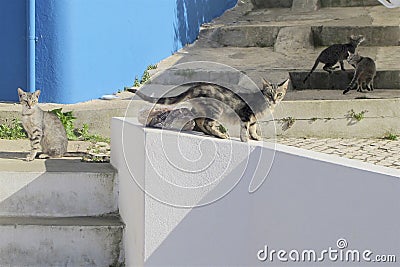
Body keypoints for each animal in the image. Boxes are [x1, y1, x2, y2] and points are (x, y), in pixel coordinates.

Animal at [134, 79, 288, 142]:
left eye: (279, 94)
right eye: (269, 94)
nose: (274, 100)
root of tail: (195, 87)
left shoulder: (253, 119)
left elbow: (253, 128)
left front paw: (255, 137)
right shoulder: (245, 114)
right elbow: (245, 129)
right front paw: (245, 140)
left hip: (201, 109)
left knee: (199, 121)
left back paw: (211, 133)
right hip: (216, 110)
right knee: (206, 123)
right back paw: (220, 135)